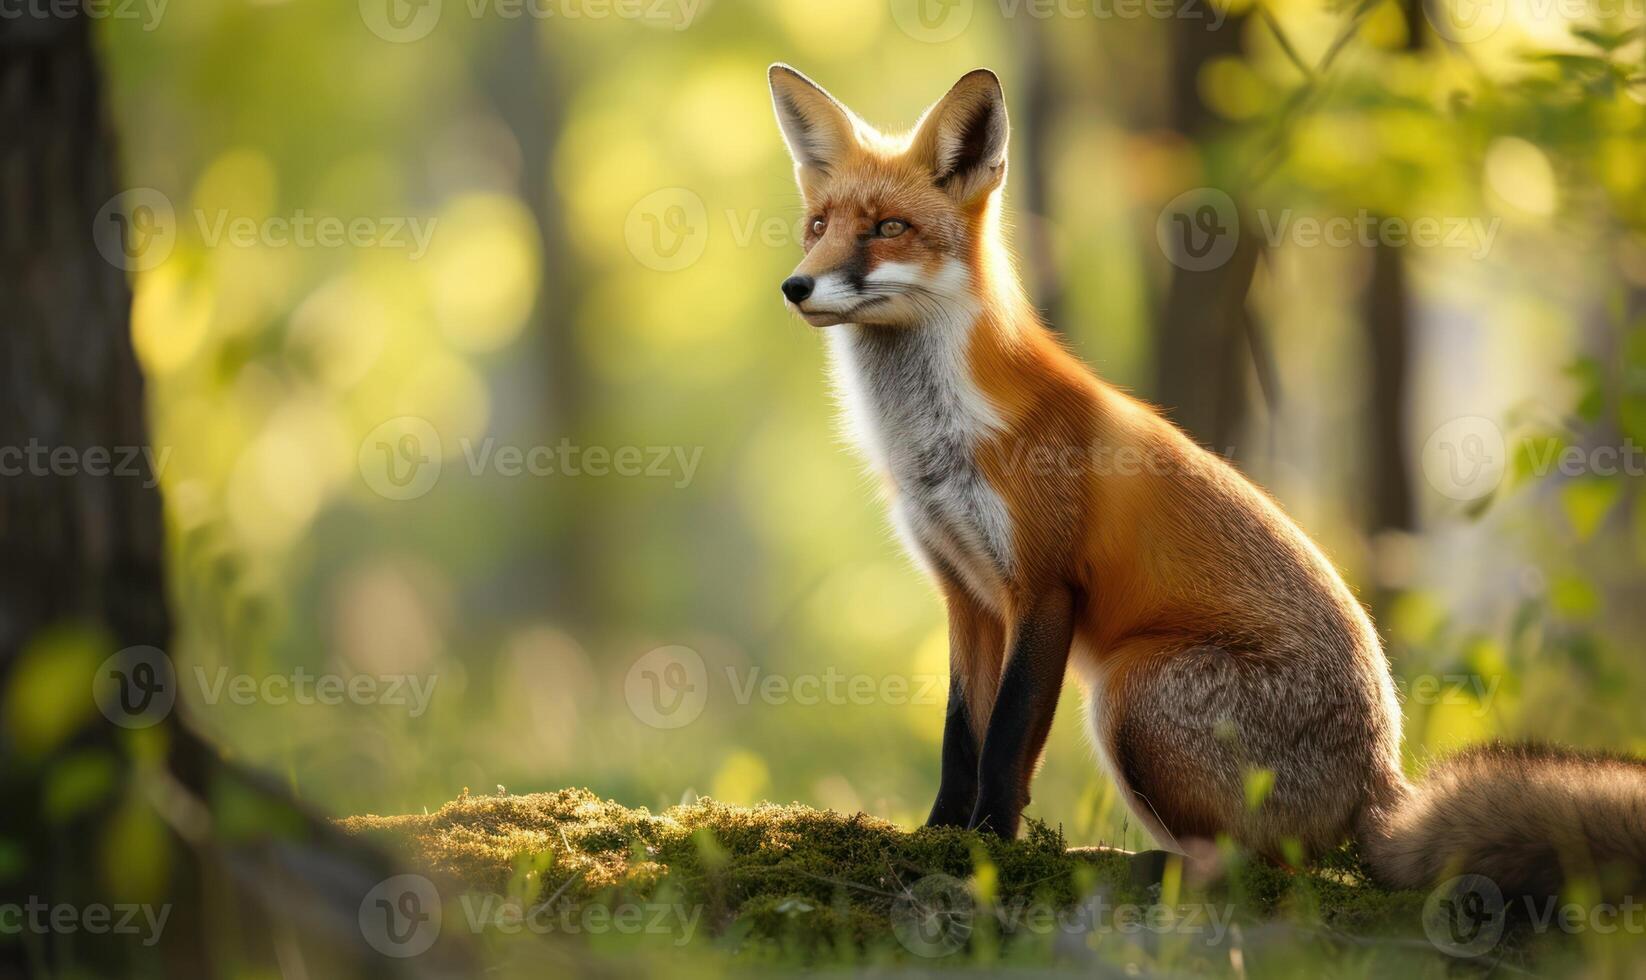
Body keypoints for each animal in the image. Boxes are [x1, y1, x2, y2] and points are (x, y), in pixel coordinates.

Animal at [767, 65, 1646, 902]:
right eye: (818, 227)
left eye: (888, 228)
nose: (796, 286)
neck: (936, 439)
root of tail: (1380, 778)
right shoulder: (966, 593)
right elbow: (962, 737)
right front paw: (938, 835)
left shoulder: (1045, 587)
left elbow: (1008, 742)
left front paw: (988, 848)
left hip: (1132, 686)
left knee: (1269, 868)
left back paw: (1148, 867)